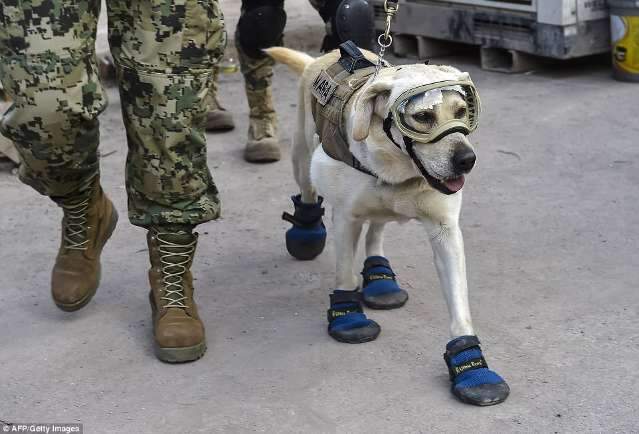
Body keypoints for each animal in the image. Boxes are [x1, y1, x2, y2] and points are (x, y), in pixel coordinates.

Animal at [270, 42, 510, 406]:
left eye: (461, 110)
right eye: (423, 117)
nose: (467, 160)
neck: (399, 169)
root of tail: (323, 56)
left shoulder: (445, 232)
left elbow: (459, 306)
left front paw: (471, 366)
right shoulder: (346, 218)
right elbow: (343, 273)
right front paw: (348, 316)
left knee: (376, 231)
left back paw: (379, 276)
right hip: (301, 158)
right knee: (308, 192)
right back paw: (306, 231)